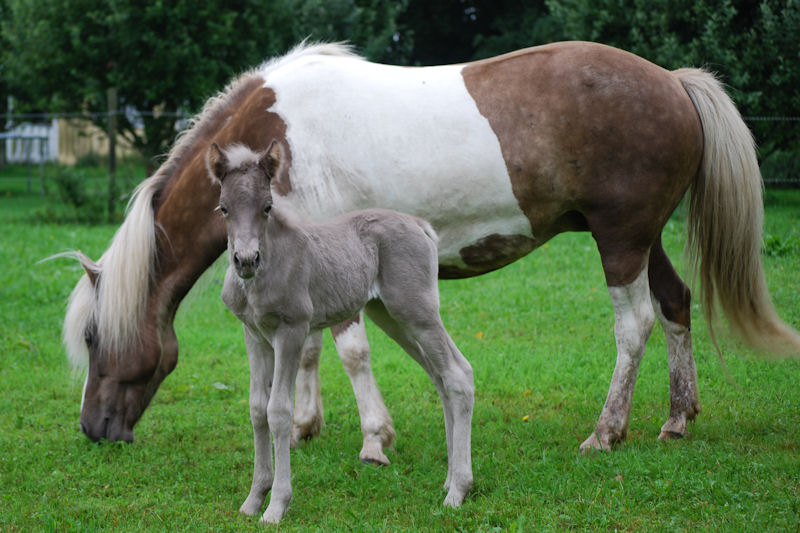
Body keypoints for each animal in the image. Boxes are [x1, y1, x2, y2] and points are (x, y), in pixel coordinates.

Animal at [64, 41, 800, 458]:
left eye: (95, 338)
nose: (93, 428)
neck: (273, 136)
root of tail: (673, 81)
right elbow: (308, 349)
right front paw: (303, 425)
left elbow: (349, 350)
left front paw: (373, 438)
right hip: (643, 237)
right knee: (675, 305)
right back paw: (676, 419)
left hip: (620, 238)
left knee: (635, 324)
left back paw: (607, 431)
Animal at [206, 141, 476, 524]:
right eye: (224, 208)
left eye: (267, 207)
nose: (245, 260)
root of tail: (420, 224)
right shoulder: (254, 335)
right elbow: (257, 409)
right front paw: (253, 499)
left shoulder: (292, 329)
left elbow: (279, 411)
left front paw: (276, 506)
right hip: (391, 317)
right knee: (440, 376)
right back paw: (450, 479)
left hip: (418, 311)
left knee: (458, 373)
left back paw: (458, 490)